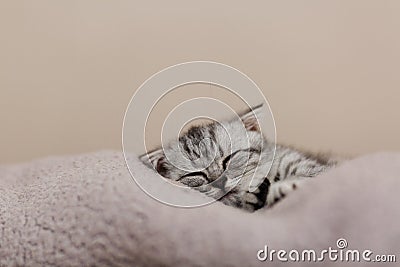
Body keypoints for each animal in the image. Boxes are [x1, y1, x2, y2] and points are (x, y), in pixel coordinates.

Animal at [141, 105, 338, 213]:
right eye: (195, 175)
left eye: (228, 159)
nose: (220, 182)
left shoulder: (313, 166)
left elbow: (307, 175)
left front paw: (282, 188)